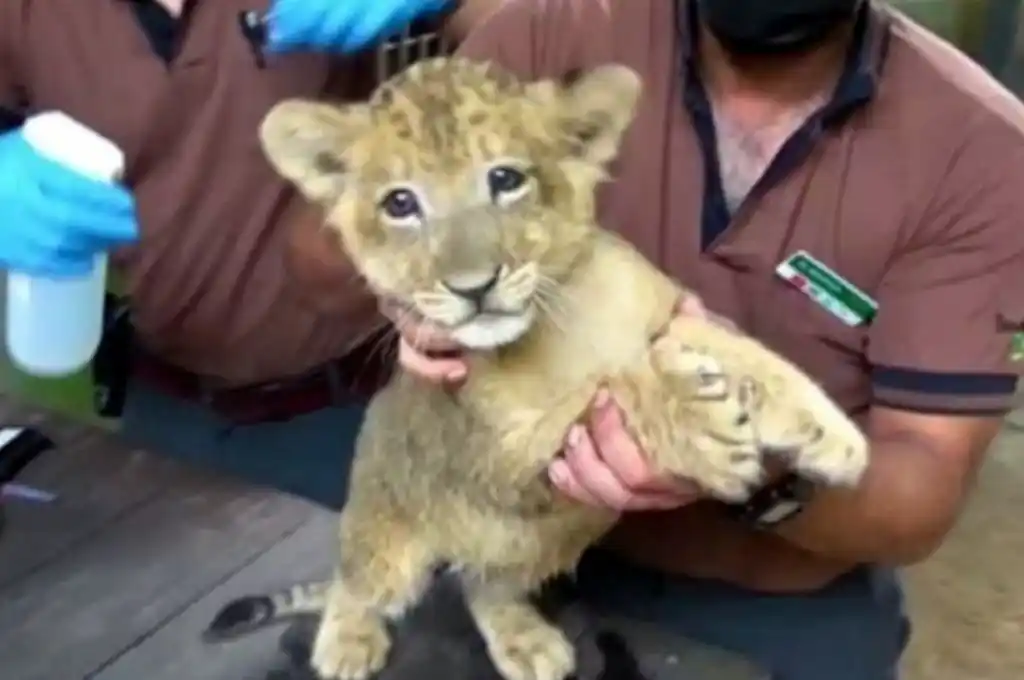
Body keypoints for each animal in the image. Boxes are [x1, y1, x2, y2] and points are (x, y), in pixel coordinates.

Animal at [254, 56, 869, 680]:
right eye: (400, 204)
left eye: (505, 180)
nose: (473, 288)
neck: (565, 318)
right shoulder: (498, 457)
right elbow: (606, 386)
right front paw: (702, 428)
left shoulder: (669, 313)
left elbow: (740, 350)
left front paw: (832, 437)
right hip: (387, 532)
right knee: (354, 581)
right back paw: (346, 643)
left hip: (522, 549)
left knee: (483, 584)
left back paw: (526, 642)